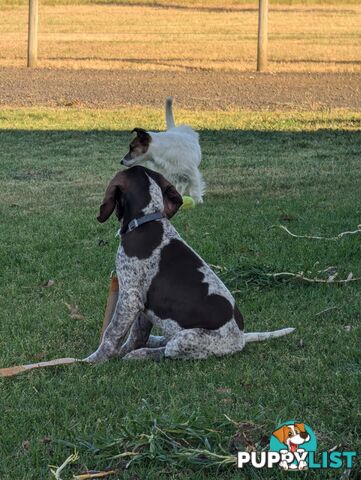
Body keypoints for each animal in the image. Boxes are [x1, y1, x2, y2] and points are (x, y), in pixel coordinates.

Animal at [84, 167, 292, 362]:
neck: (148, 219)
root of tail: (240, 338)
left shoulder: (130, 297)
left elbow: (111, 333)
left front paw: (94, 360)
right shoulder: (142, 302)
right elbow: (137, 335)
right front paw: (123, 350)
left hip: (186, 339)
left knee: (167, 351)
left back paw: (142, 354)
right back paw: (151, 342)